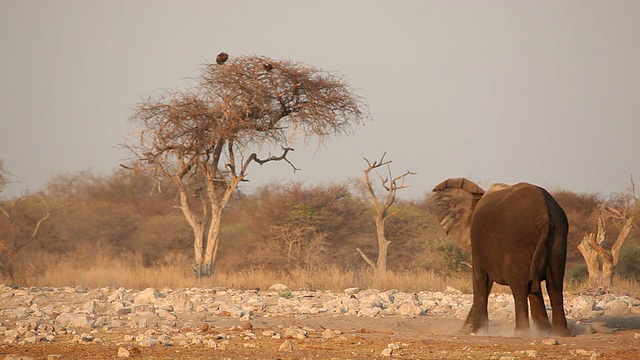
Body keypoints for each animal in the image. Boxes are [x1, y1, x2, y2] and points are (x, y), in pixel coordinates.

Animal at [430, 179, 568, 336]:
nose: (461, 332)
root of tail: (544, 217)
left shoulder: (478, 244)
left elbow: (481, 279)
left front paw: (477, 332)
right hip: (557, 240)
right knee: (554, 285)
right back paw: (557, 333)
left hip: (517, 241)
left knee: (520, 286)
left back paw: (521, 332)